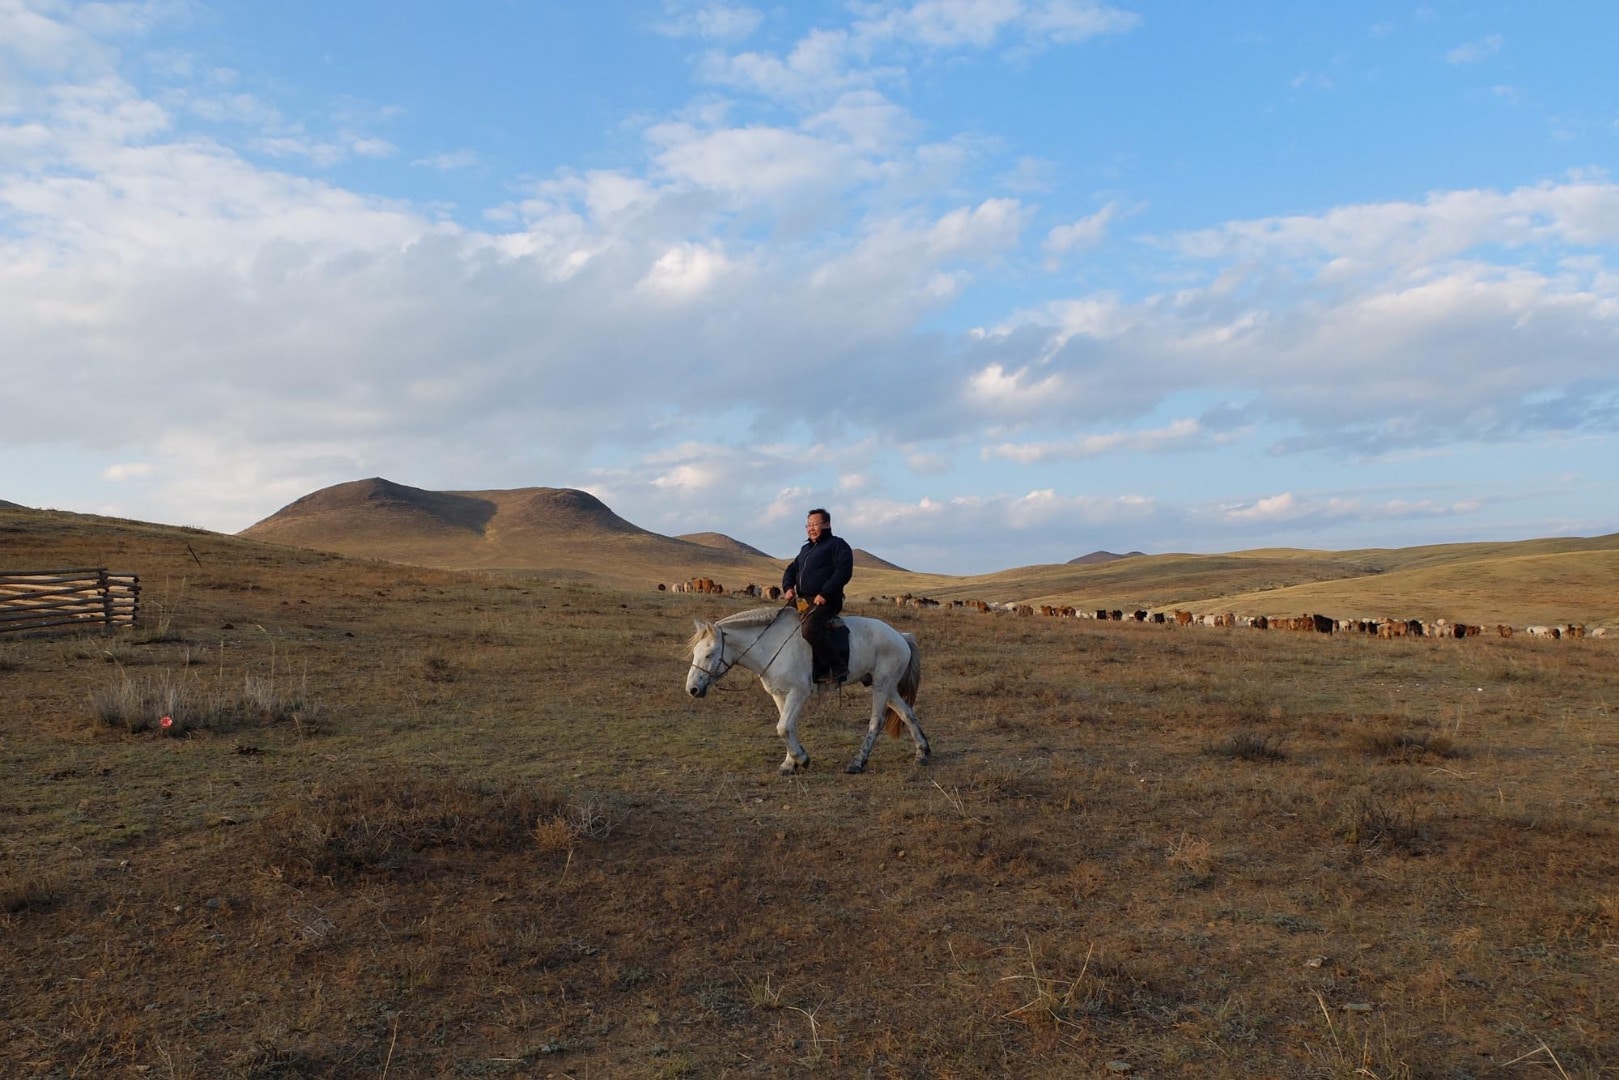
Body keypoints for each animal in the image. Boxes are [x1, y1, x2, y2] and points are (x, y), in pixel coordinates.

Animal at [686, 608, 939, 777]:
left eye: (709, 654)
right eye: (695, 652)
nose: (692, 689)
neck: (771, 645)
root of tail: (901, 636)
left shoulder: (799, 693)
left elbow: (783, 727)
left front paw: (802, 759)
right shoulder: (780, 695)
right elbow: (788, 727)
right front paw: (790, 763)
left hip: (882, 686)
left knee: (876, 722)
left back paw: (858, 762)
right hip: (887, 687)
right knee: (907, 714)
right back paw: (922, 753)